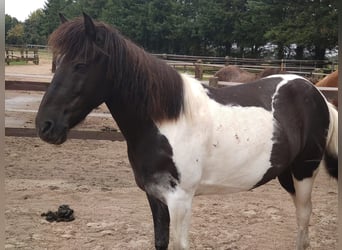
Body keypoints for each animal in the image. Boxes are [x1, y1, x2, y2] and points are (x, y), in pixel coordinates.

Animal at [36, 14, 338, 250]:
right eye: (56, 63)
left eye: (80, 65)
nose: (45, 126)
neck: (166, 122)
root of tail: (316, 93)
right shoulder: (155, 195)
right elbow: (160, 241)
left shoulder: (180, 200)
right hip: (286, 174)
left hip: (304, 172)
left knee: (303, 219)